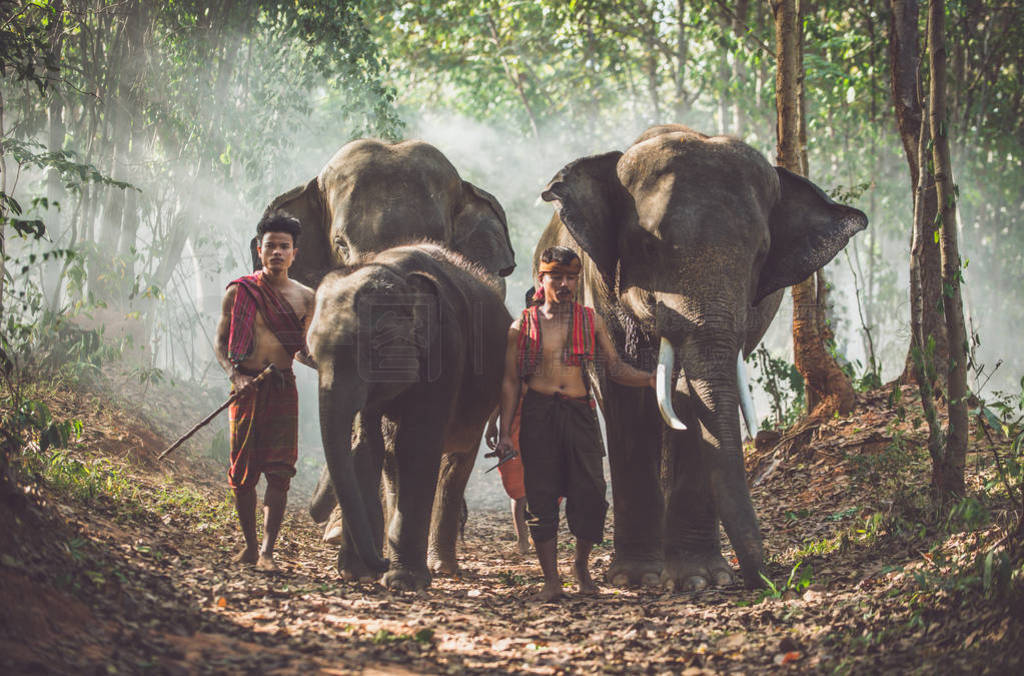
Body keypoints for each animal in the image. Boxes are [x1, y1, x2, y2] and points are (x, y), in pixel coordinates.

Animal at [303, 243, 512, 589]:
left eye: (372, 351)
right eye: (312, 354)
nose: (381, 561)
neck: (393, 271)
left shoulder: (446, 350)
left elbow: (416, 445)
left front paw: (403, 581)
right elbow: (366, 447)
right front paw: (357, 573)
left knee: (456, 462)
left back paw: (442, 567)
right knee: (391, 460)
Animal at [536, 123, 864, 589]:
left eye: (760, 256)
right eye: (648, 247)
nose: (766, 582)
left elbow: (696, 406)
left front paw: (702, 580)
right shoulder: (596, 292)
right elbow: (627, 401)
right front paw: (637, 579)